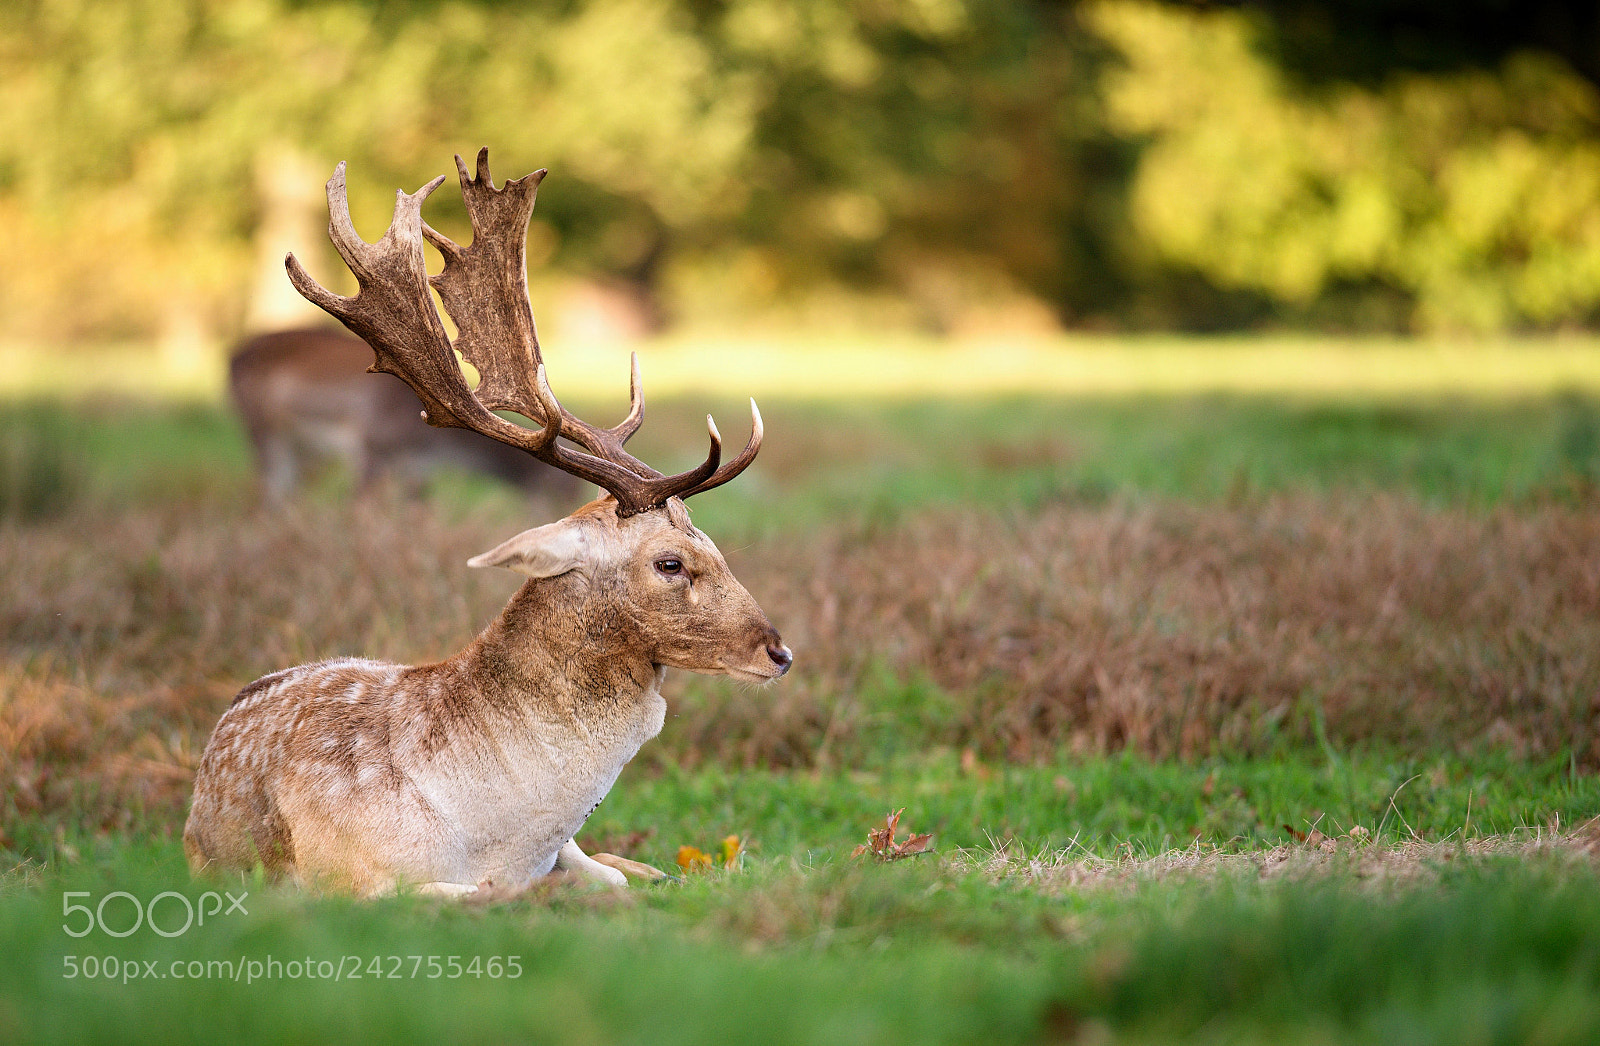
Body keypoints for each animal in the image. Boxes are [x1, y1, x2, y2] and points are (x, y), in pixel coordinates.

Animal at [229, 326, 580, 502]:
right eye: (560, 490)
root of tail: (232, 354)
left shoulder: (418, 468)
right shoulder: (369, 445)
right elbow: (362, 509)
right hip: (259, 425)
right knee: (268, 485)